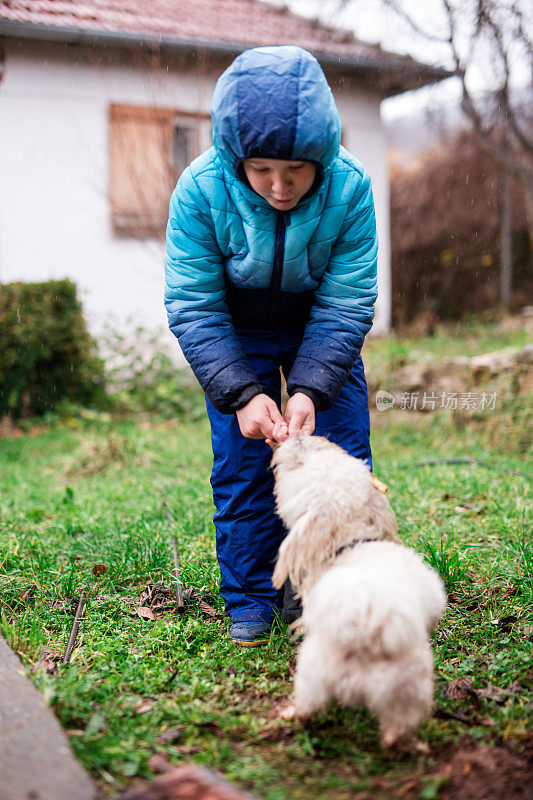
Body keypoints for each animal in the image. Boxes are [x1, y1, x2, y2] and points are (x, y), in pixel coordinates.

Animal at [270, 434, 444, 748]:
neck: (354, 542)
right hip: (401, 689)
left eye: (300, 464)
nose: (299, 435)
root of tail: (369, 621)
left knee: (308, 703)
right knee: (397, 726)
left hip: (315, 669)